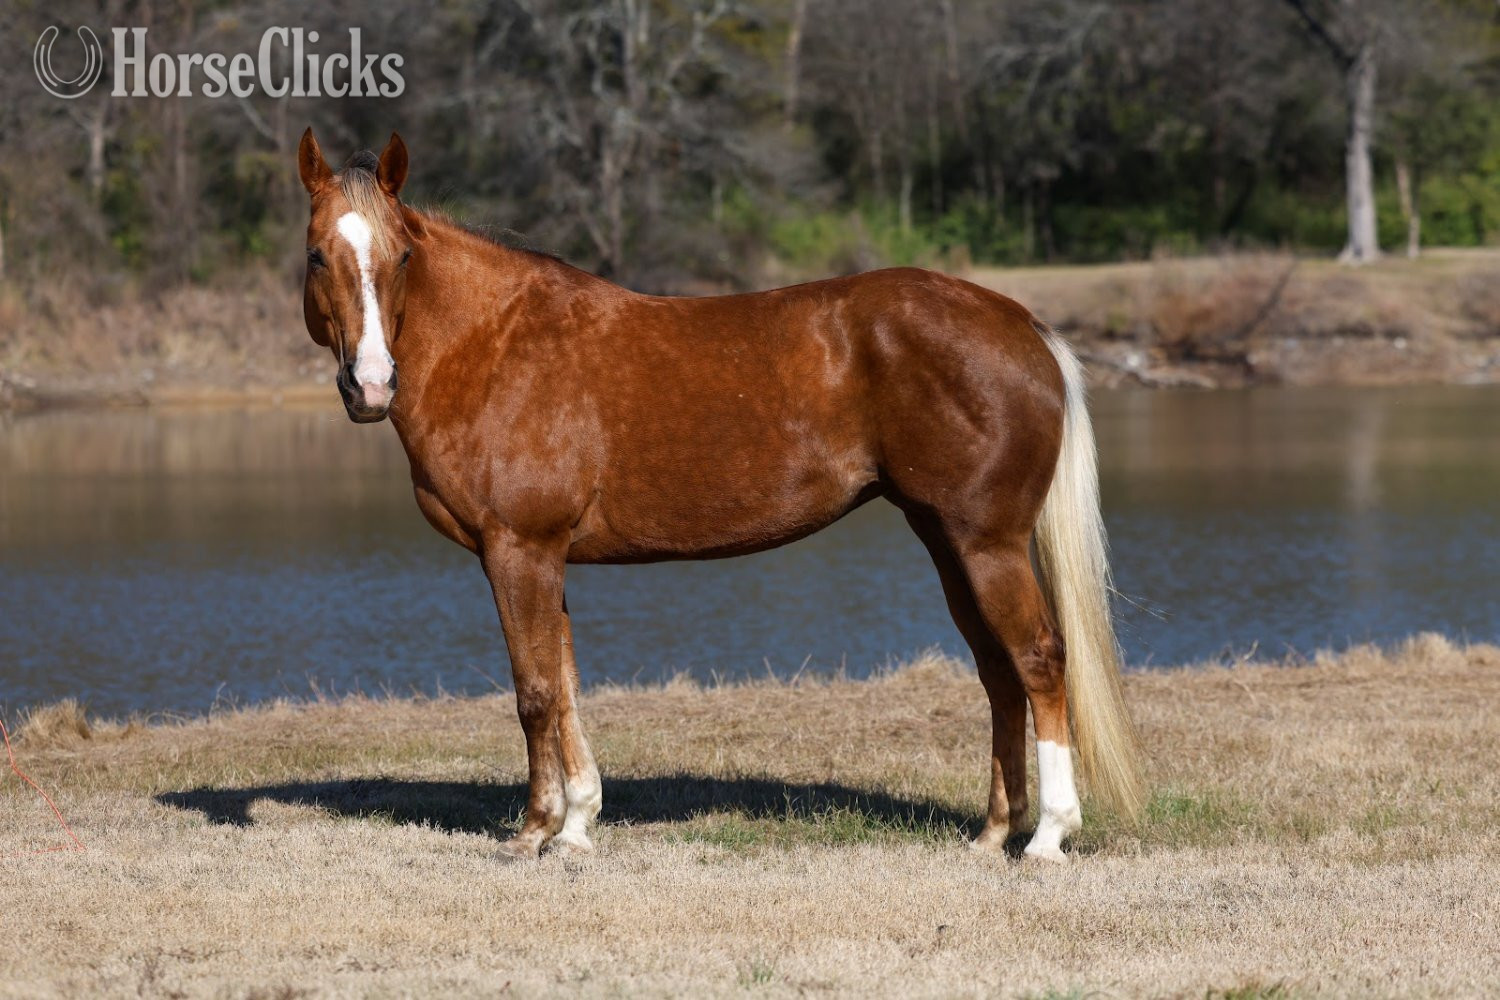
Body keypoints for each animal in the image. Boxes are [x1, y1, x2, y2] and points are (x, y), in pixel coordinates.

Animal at [296, 128, 1144, 863]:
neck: (495, 345)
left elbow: (535, 691)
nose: (370, 386)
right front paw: (577, 826)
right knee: (999, 673)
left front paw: (534, 830)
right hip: (948, 541)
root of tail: (1022, 323)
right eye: (316, 255)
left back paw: (1047, 839)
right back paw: (992, 833)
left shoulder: (519, 550)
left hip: (987, 543)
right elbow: (566, 685)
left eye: (404, 255)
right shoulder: (545, 559)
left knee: (1039, 661)